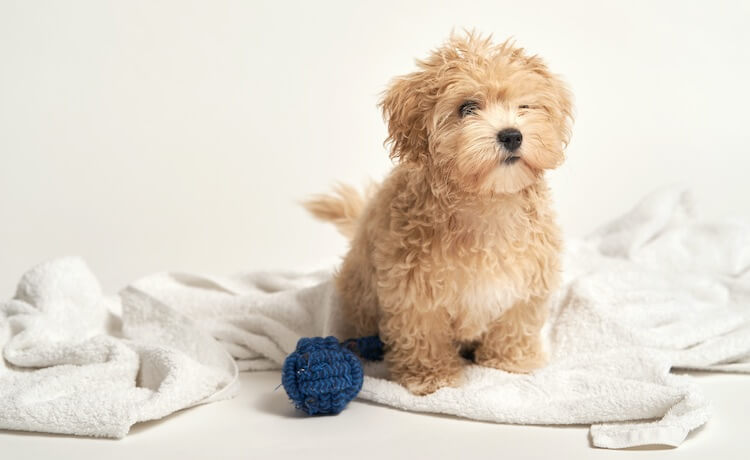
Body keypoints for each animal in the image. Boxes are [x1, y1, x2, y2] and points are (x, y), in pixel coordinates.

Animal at [306, 31, 576, 396]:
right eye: (467, 108)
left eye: (524, 106)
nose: (511, 135)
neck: (486, 203)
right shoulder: (413, 289)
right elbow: (425, 333)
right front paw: (432, 377)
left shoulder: (528, 278)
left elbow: (515, 321)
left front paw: (511, 361)